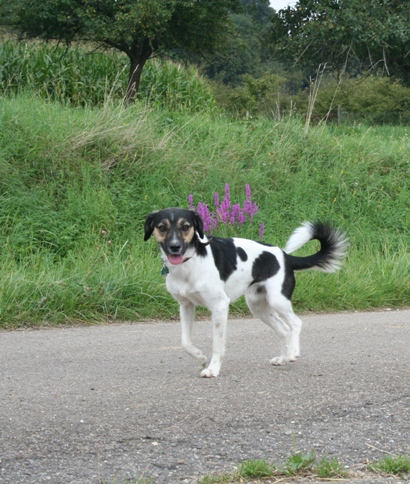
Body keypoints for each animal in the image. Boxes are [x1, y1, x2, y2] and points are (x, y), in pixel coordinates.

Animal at [143, 208, 348, 378]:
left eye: (185, 227)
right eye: (162, 227)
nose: (174, 247)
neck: (190, 263)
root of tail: (285, 255)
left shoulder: (219, 306)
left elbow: (217, 344)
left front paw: (213, 369)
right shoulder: (186, 305)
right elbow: (185, 342)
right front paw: (200, 357)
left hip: (277, 299)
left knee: (296, 323)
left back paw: (292, 353)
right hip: (258, 306)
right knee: (283, 329)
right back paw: (282, 358)